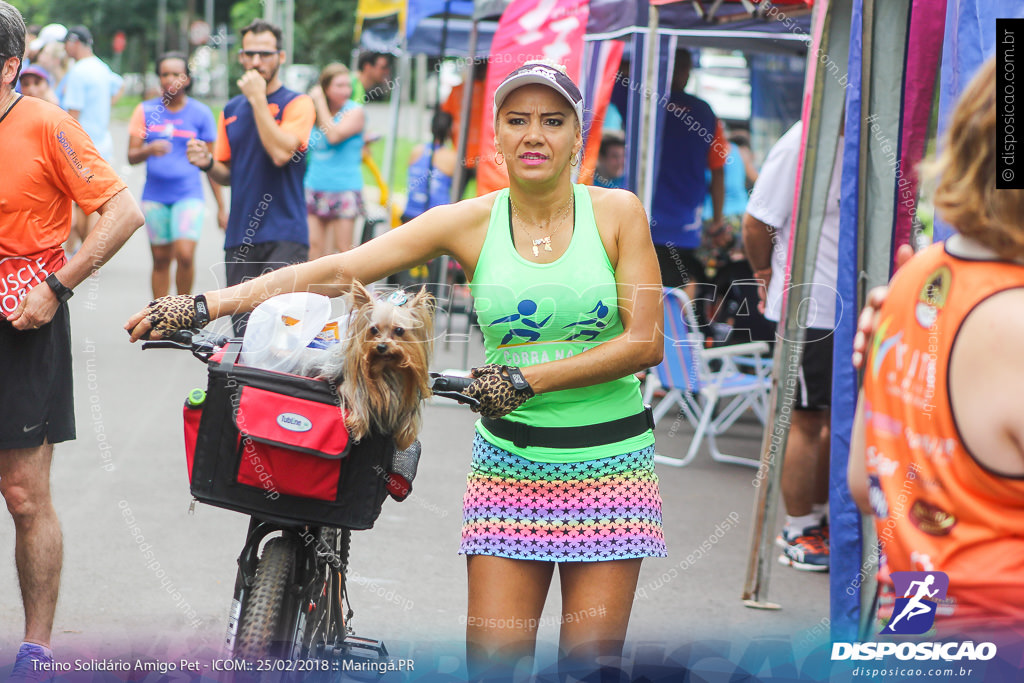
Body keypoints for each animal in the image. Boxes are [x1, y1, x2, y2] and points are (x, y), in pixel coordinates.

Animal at [303, 280, 432, 450]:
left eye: (399, 330)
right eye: (374, 329)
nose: (381, 346)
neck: (386, 368)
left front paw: (405, 435)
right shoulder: (352, 383)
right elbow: (356, 397)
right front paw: (358, 425)